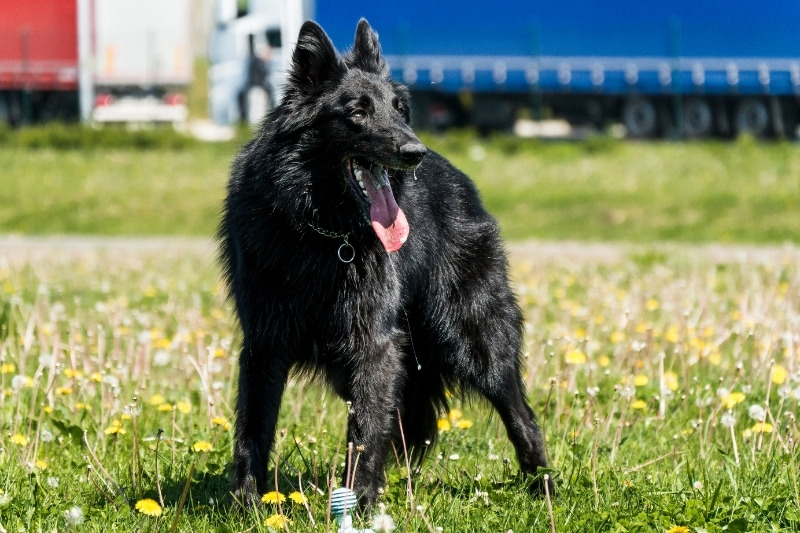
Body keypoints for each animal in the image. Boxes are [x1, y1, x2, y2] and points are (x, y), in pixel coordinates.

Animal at [219, 18, 552, 504]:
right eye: (357, 112)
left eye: (398, 109)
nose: (415, 152)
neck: (322, 231)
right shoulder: (263, 343)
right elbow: (253, 427)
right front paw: (246, 503)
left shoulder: (373, 342)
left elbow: (364, 430)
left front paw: (358, 502)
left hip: (475, 337)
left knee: (519, 414)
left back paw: (543, 485)